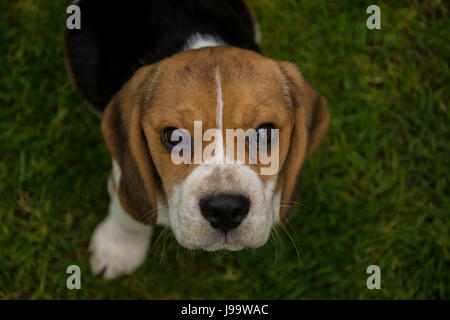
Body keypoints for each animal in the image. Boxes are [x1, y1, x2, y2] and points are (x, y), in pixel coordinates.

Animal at [65, 0, 328, 278]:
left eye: (265, 131)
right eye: (174, 136)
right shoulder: (125, 175)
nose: (225, 209)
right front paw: (117, 250)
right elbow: (128, 216)